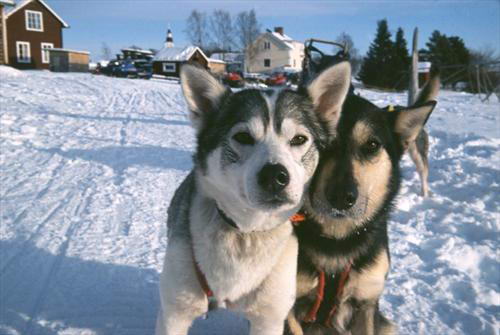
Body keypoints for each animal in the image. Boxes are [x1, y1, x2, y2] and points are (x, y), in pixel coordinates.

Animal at [155, 63, 352, 335]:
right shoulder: (174, 315)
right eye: (243, 137)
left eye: (299, 139)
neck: (246, 232)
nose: (275, 176)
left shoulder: (269, 319)